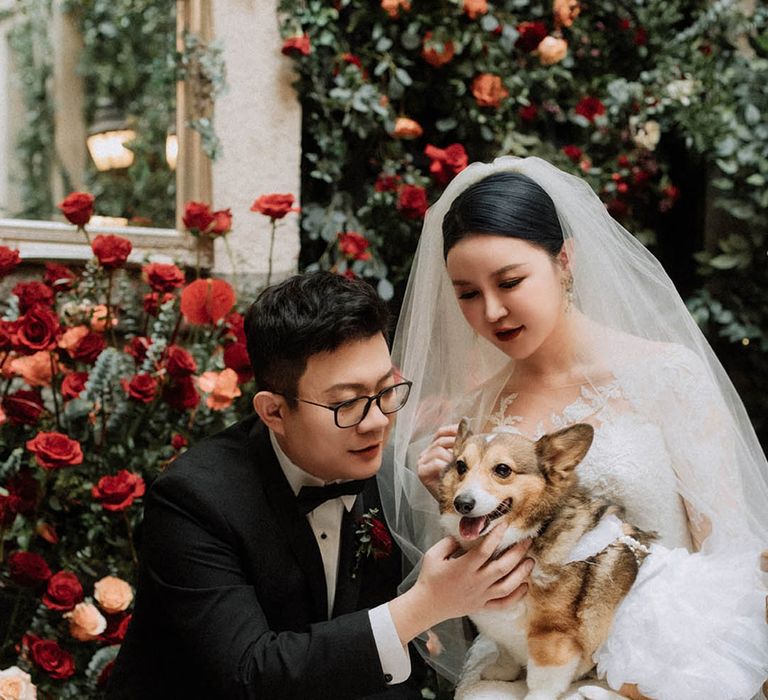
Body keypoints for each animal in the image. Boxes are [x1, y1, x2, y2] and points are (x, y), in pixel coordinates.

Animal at [438, 418, 656, 696]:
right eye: (461, 466)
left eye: (502, 470)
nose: (462, 503)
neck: (530, 534)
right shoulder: (503, 632)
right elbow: (505, 653)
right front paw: (501, 672)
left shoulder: (554, 637)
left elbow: (542, 682)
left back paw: (593, 691)